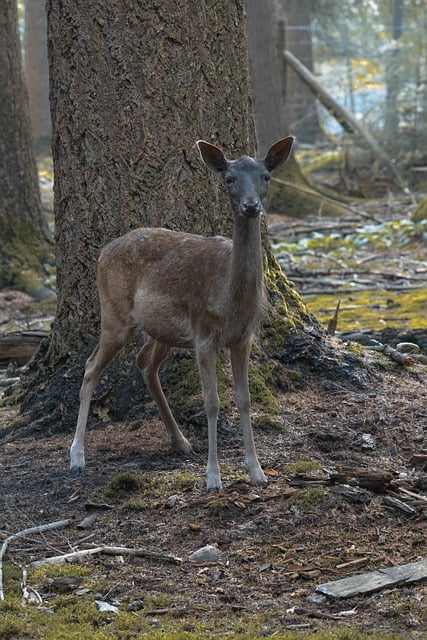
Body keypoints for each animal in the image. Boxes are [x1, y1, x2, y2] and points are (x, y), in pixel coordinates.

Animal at [70, 135, 294, 491]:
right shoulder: (203, 333)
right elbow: (212, 402)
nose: (251, 206)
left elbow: (244, 399)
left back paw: (181, 441)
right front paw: (213, 477)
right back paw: (76, 457)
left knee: (145, 364)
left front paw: (256, 471)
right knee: (91, 368)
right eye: (229, 179)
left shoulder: (244, 336)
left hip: (162, 330)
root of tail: (103, 251)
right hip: (115, 313)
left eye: (266, 176)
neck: (229, 299)